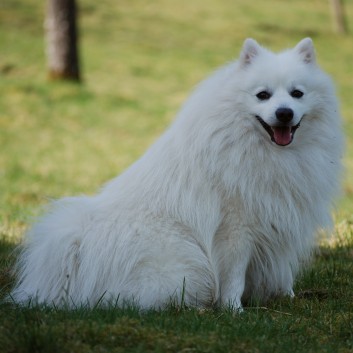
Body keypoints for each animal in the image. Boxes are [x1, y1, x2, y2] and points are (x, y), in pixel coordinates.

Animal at [11, 38, 340, 308]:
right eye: (263, 95)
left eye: (297, 94)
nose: (284, 113)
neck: (270, 153)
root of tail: (79, 242)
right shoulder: (236, 227)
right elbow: (234, 277)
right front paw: (234, 310)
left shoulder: (280, 217)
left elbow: (282, 270)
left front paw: (289, 298)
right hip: (187, 266)